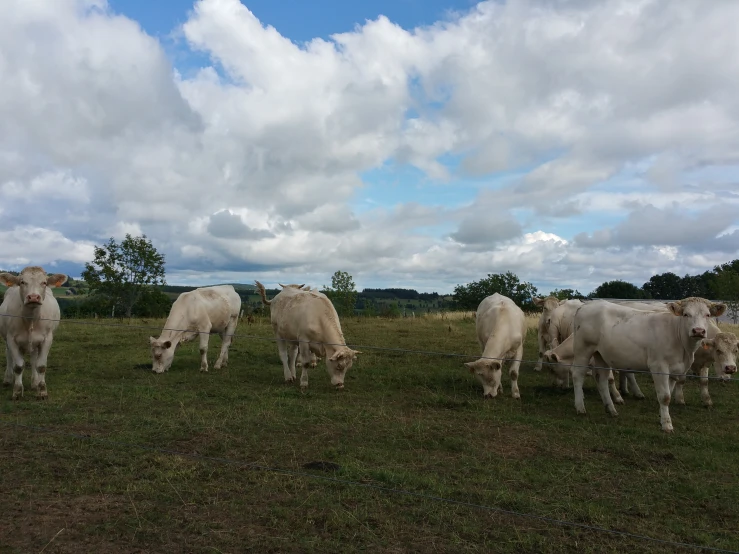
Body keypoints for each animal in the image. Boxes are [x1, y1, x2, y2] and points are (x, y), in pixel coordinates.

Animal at [0, 266, 68, 398]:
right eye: (22, 282)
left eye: (44, 282)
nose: (33, 297)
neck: (30, 319)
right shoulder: (11, 339)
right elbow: (18, 366)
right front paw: (17, 391)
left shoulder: (47, 339)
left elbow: (40, 366)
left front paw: (42, 390)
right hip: (6, 338)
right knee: (9, 355)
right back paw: (7, 379)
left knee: (33, 358)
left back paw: (34, 382)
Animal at [572, 298, 728, 432]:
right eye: (686, 314)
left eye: (707, 315)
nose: (698, 331)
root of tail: (586, 305)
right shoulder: (659, 366)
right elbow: (665, 396)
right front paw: (667, 425)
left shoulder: (675, 370)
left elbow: (668, 393)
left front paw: (662, 417)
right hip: (582, 349)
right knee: (578, 375)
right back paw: (580, 407)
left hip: (602, 355)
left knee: (602, 379)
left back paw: (611, 409)